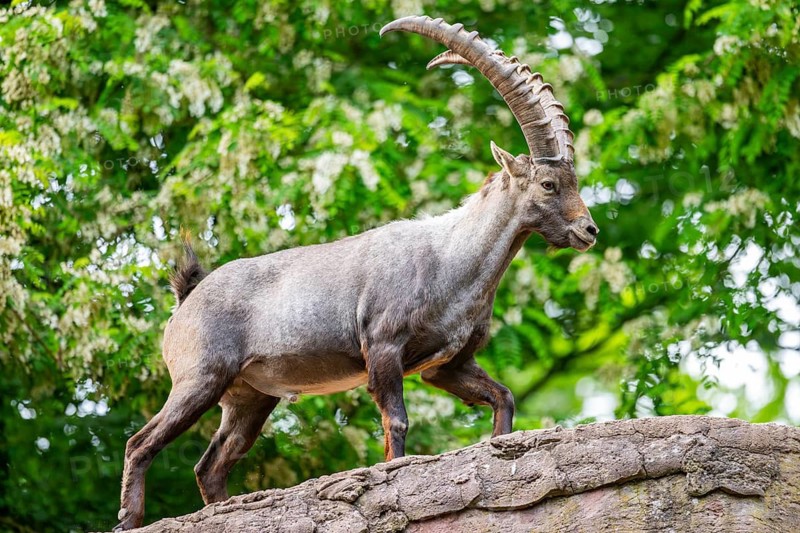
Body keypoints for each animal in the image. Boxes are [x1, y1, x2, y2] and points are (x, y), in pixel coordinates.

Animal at [114, 15, 598, 530]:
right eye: (548, 184)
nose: (588, 230)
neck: (451, 259)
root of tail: (186, 297)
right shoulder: (383, 348)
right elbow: (397, 422)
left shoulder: (446, 366)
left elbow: (503, 397)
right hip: (199, 377)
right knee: (140, 442)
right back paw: (129, 517)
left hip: (249, 397)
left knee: (210, 465)